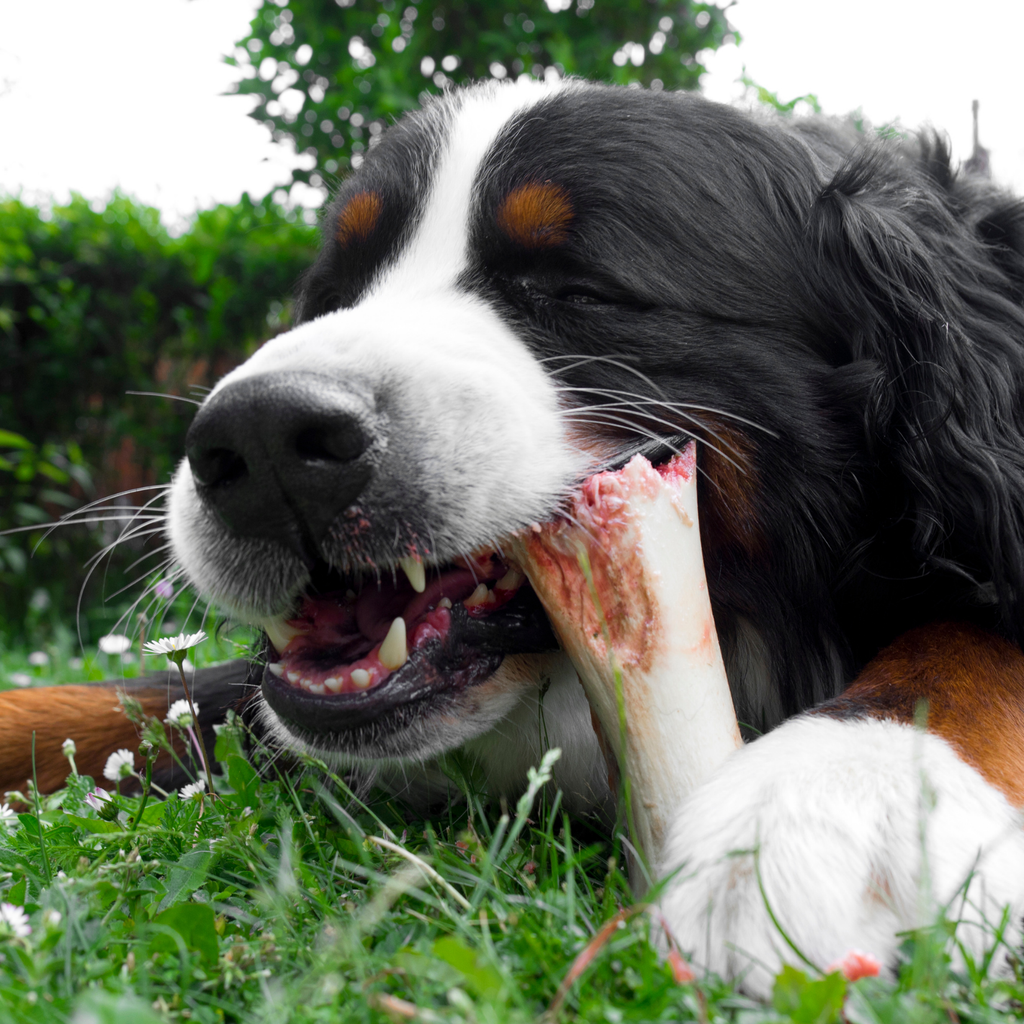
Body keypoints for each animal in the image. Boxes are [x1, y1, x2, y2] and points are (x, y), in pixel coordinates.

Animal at [16, 81, 1024, 999]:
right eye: (332, 293)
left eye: (576, 288)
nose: (262, 438)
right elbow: (102, 702)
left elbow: (960, 652)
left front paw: (827, 801)